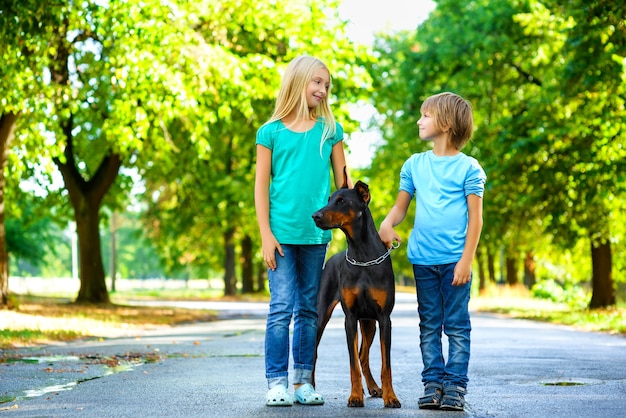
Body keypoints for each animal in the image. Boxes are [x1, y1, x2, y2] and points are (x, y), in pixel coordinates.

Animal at [310, 173, 400, 408]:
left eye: (342, 201)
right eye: (329, 198)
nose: (315, 215)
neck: (362, 255)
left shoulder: (384, 318)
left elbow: (386, 365)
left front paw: (391, 397)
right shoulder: (349, 318)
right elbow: (352, 365)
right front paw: (355, 396)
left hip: (369, 323)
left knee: (364, 355)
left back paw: (375, 387)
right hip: (322, 314)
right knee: (312, 353)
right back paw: (309, 388)